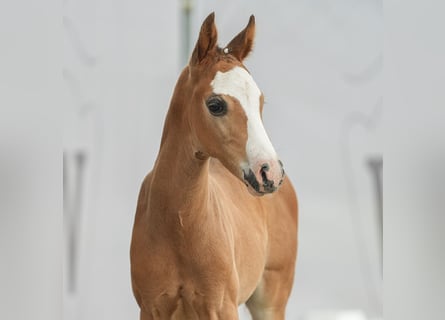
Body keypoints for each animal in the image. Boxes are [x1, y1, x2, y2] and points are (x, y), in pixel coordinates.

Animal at [132, 13, 298, 320]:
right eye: (216, 104)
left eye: (260, 102)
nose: (270, 171)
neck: (179, 223)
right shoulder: (151, 307)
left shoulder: (221, 307)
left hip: (271, 299)